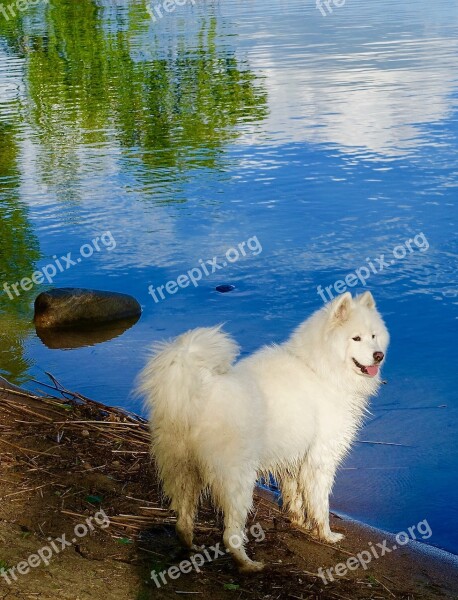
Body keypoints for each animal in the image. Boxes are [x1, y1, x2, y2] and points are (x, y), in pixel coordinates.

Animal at [138, 290, 388, 572]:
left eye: (374, 336)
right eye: (356, 338)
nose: (378, 355)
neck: (319, 368)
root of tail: (198, 390)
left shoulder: (294, 457)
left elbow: (295, 496)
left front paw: (299, 522)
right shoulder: (321, 457)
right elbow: (319, 503)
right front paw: (326, 535)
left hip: (183, 470)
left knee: (182, 520)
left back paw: (191, 547)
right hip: (237, 480)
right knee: (230, 535)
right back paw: (248, 564)